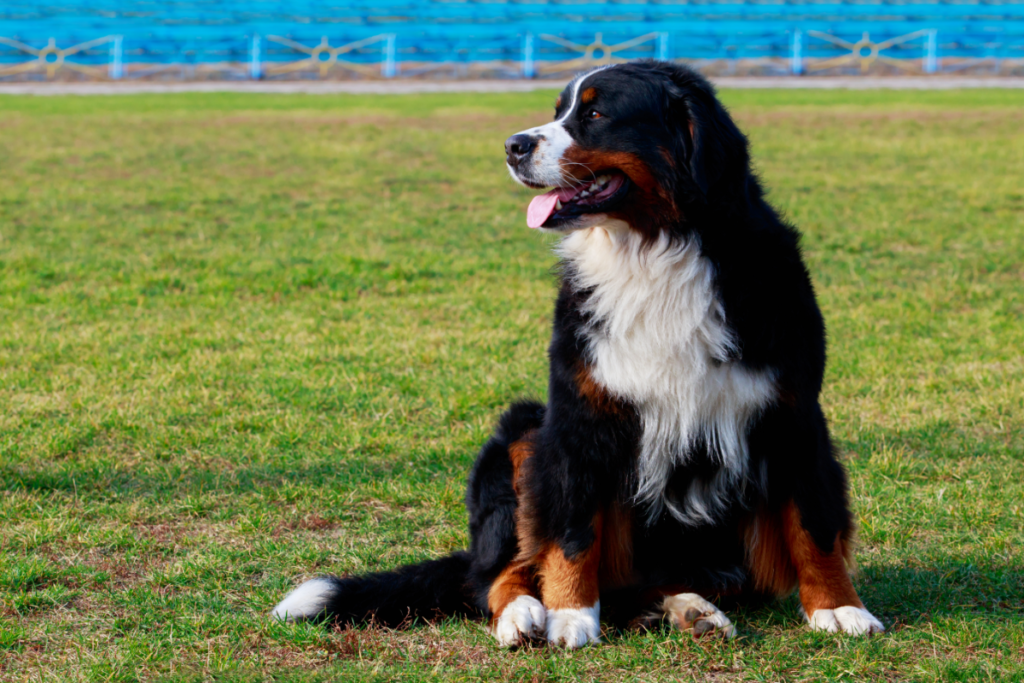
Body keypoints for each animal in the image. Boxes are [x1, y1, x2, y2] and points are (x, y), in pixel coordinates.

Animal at [274, 60, 888, 647]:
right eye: (558, 111)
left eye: (594, 116)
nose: (513, 145)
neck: (654, 250)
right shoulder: (579, 417)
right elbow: (572, 533)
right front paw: (569, 616)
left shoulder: (791, 413)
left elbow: (814, 525)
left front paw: (839, 607)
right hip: (522, 434)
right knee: (496, 572)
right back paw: (524, 613)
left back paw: (688, 610)